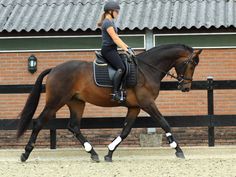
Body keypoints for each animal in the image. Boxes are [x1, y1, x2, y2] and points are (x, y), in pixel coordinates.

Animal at [17, 44, 203, 162]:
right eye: (190, 64)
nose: (186, 87)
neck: (147, 69)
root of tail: (54, 69)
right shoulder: (147, 103)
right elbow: (165, 123)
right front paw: (178, 150)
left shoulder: (135, 107)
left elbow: (126, 130)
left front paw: (109, 153)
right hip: (55, 102)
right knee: (39, 122)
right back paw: (25, 154)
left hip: (76, 103)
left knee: (74, 126)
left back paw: (93, 153)